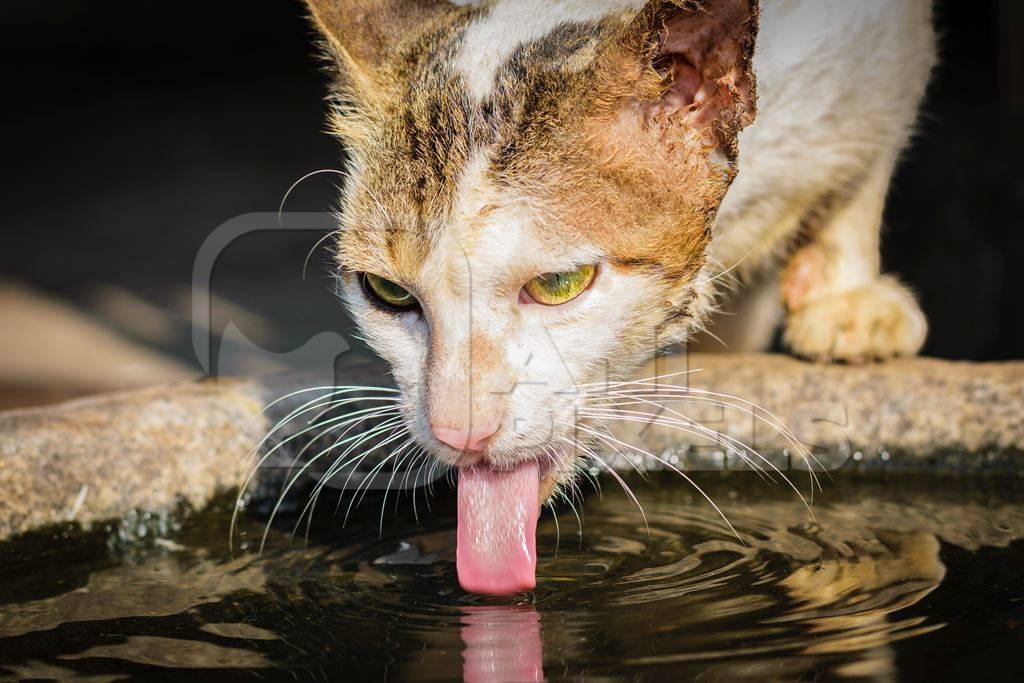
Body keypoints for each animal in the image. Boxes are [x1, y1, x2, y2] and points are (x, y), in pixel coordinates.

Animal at [299, 0, 937, 593]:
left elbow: (867, 166)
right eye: (387, 291)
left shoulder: (886, 40)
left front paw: (845, 297)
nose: (461, 431)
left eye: (559, 284)